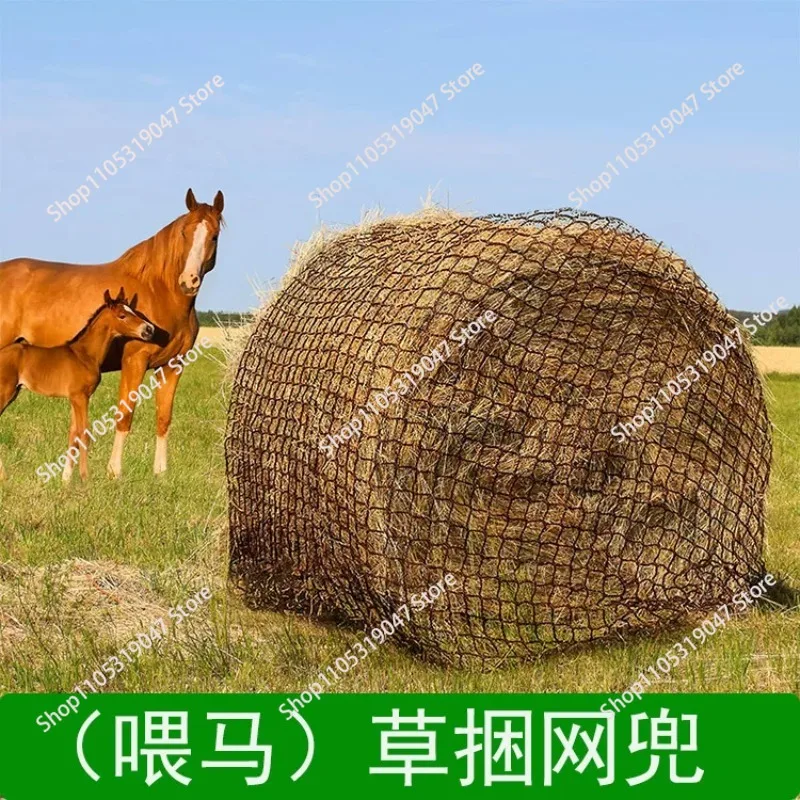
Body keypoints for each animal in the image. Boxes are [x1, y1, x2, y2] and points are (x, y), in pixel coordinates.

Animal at [0, 289, 155, 482]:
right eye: (122, 315)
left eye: (134, 311)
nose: (149, 329)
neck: (84, 355)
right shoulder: (81, 397)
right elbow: (84, 434)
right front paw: (85, 478)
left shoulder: (75, 399)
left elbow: (74, 434)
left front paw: (68, 480)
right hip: (5, 392)